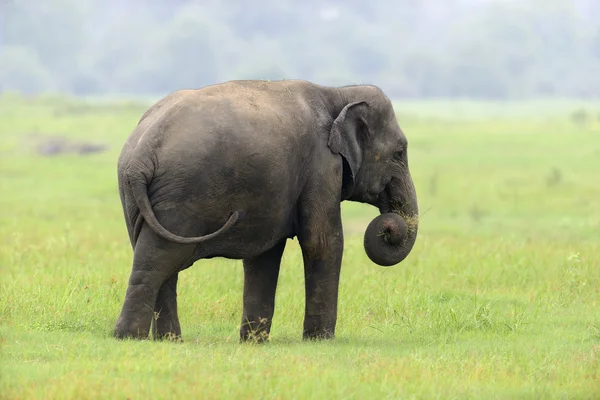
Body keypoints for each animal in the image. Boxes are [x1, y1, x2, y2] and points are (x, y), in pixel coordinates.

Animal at [115, 79, 420, 342]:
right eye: (399, 152)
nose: (390, 227)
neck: (337, 92)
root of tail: (141, 155)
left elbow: (264, 253)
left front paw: (253, 342)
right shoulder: (321, 164)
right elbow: (321, 242)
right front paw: (319, 340)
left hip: (135, 198)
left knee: (154, 257)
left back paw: (167, 340)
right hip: (182, 195)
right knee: (159, 260)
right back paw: (131, 337)